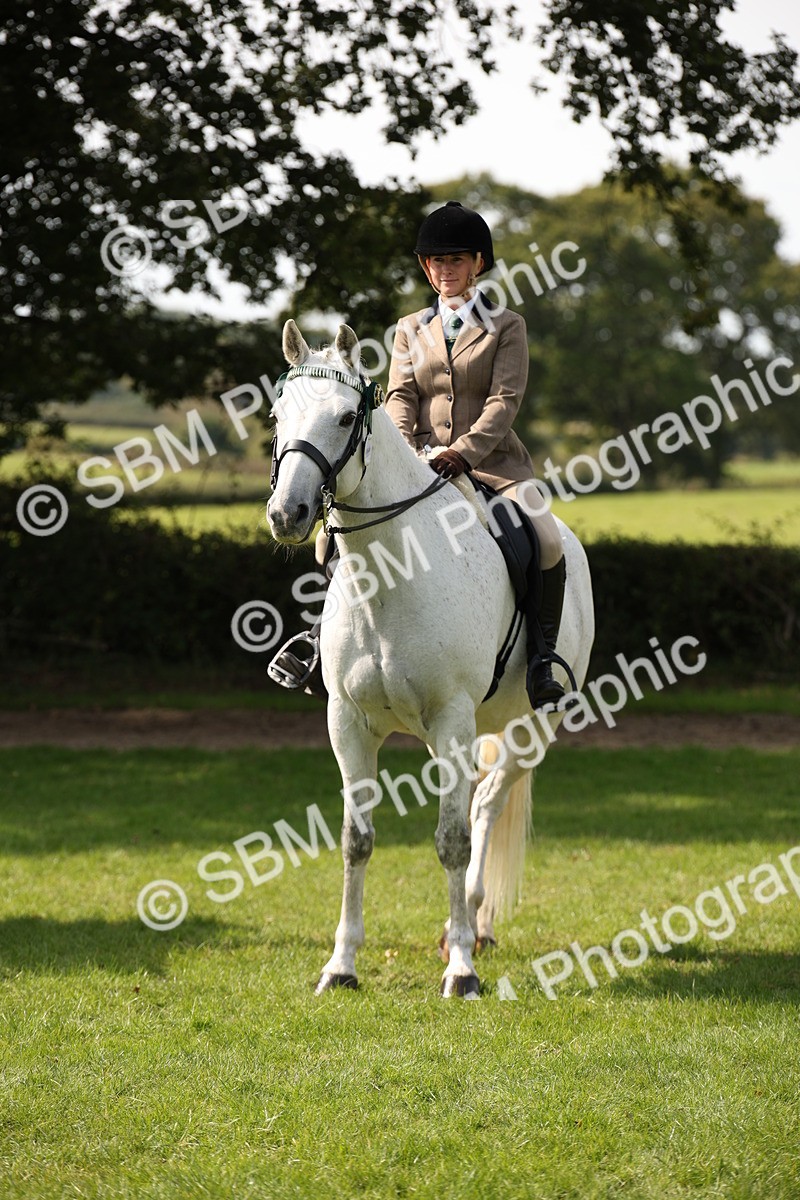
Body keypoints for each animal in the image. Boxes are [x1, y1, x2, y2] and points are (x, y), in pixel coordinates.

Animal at [267, 319, 595, 998]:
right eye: (278, 415)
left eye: (346, 417)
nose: (288, 514)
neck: (389, 574)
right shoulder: (347, 723)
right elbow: (356, 839)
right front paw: (341, 965)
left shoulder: (450, 719)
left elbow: (452, 840)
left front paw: (462, 971)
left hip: (527, 730)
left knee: (487, 805)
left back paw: (472, 925)